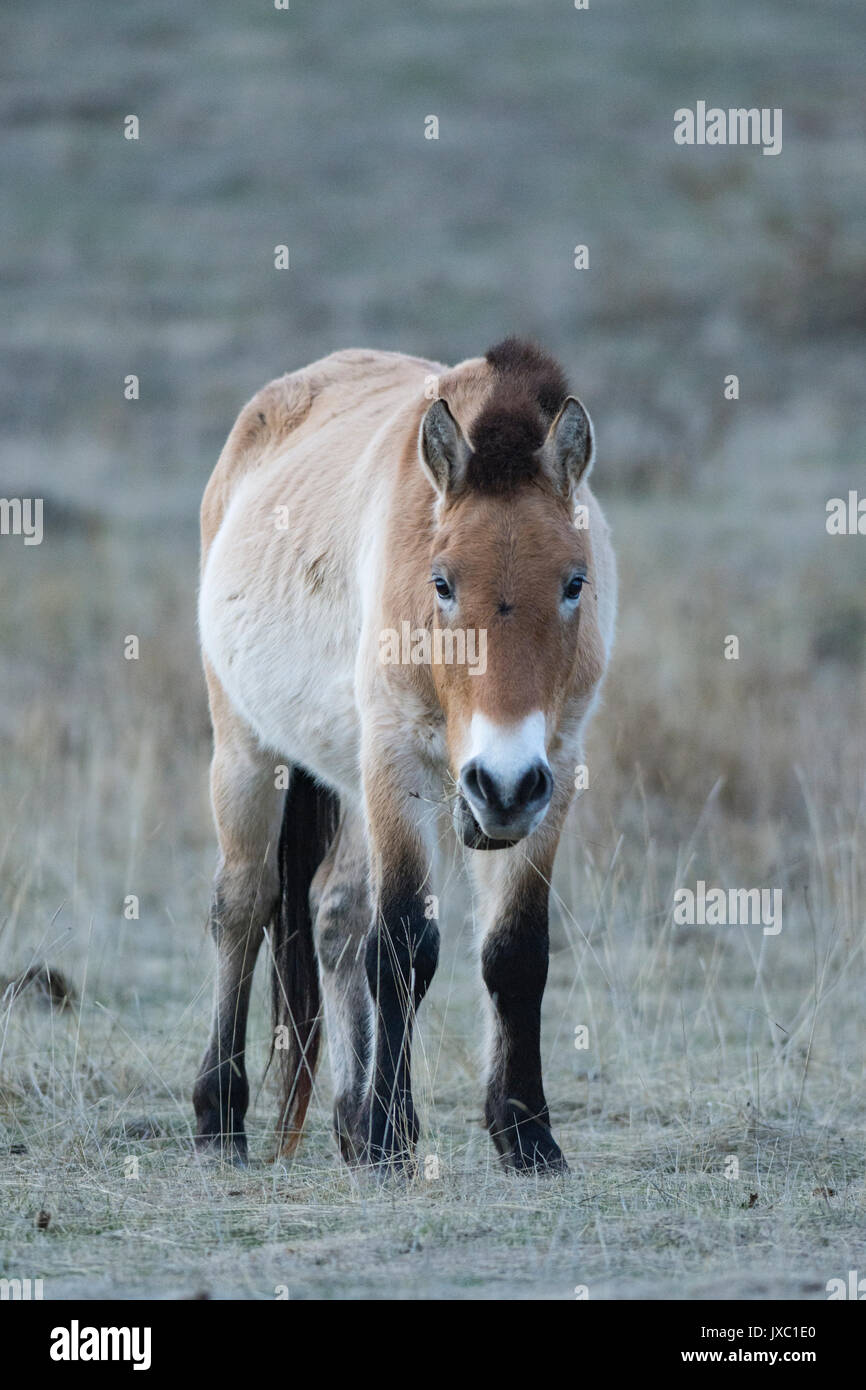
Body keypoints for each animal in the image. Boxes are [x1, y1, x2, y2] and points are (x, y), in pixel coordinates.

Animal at [194, 336, 619, 1173]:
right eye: (443, 582)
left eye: (575, 582)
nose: (501, 785)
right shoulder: (399, 767)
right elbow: (402, 947)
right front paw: (392, 1133)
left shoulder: (552, 774)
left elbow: (514, 954)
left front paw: (525, 1134)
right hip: (248, 753)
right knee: (244, 905)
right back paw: (221, 1115)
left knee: (334, 920)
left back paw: (350, 1123)